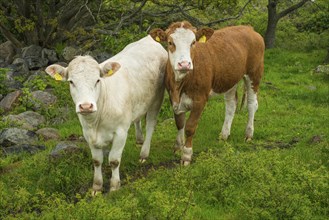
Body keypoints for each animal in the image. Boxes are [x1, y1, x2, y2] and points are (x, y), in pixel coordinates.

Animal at [151, 21, 264, 165]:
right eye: (170, 42)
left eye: (193, 42)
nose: (184, 64)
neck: (180, 85)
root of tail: (248, 28)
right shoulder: (173, 98)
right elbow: (179, 123)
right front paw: (178, 147)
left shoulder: (200, 99)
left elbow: (190, 127)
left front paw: (186, 155)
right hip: (230, 78)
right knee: (231, 104)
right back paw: (224, 135)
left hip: (254, 73)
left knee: (252, 104)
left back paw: (248, 134)